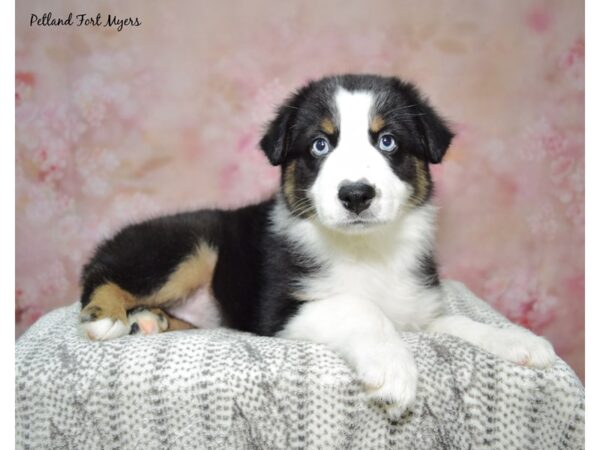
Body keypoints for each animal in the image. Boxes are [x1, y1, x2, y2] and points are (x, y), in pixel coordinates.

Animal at [81, 73, 556, 414]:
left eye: (387, 141)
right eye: (320, 145)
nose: (356, 194)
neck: (366, 251)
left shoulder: (415, 308)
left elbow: (458, 322)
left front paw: (520, 342)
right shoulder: (279, 311)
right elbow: (357, 306)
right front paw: (393, 369)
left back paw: (149, 321)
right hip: (190, 244)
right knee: (100, 272)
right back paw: (107, 315)